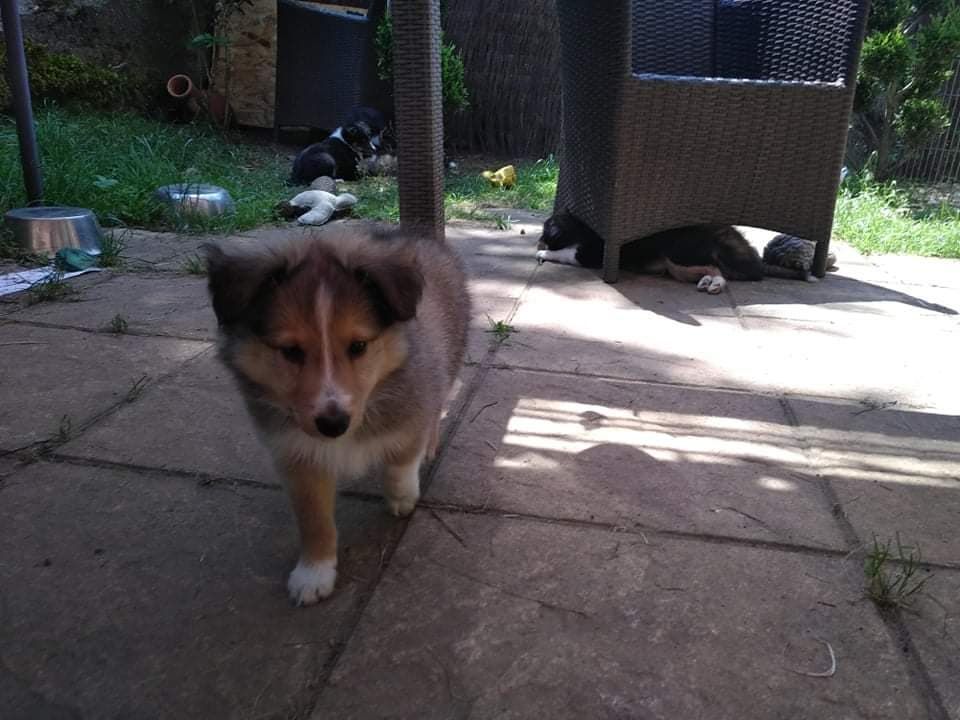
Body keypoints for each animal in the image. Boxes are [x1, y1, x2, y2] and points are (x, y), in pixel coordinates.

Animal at [204, 226, 469, 605]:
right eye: (290, 351)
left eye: (358, 346)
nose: (333, 424)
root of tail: (422, 238)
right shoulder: (296, 455)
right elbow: (313, 519)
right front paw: (314, 572)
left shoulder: (413, 403)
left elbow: (401, 458)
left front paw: (402, 496)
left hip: (450, 359)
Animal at [536, 212, 764, 293]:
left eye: (548, 226)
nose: (543, 237)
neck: (580, 228)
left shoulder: (589, 254)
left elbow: (565, 253)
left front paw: (543, 254)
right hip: (679, 268)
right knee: (711, 269)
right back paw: (707, 282)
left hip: (679, 256)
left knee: (716, 268)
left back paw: (715, 284)